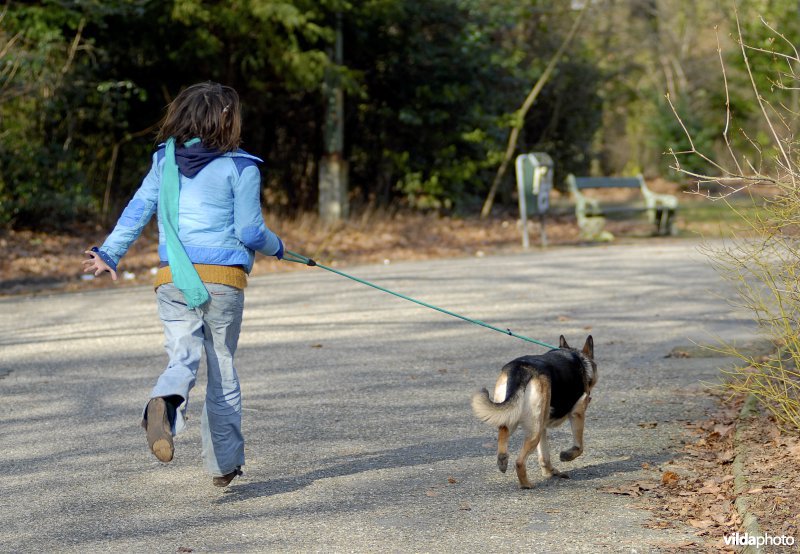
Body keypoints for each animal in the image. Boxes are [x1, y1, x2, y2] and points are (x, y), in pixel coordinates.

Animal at [472, 334, 596, 486]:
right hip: (533, 431)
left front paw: (549, 471)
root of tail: (520, 369)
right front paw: (566, 456)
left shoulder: (543, 425)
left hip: (514, 419)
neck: (578, 357)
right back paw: (526, 485)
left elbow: (544, 456)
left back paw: (503, 461)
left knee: (502, 437)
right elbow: (579, 447)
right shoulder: (577, 412)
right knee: (519, 461)